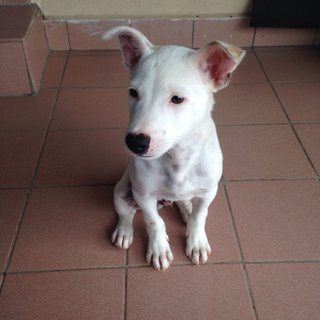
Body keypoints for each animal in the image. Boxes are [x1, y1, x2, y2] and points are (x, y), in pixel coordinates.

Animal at [102, 26, 245, 270]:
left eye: (177, 99)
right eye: (133, 92)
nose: (135, 142)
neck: (177, 156)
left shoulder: (209, 191)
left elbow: (200, 217)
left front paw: (196, 242)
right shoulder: (144, 195)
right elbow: (154, 222)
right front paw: (159, 249)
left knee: (185, 202)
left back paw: (185, 208)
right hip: (122, 191)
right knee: (126, 213)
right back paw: (124, 231)